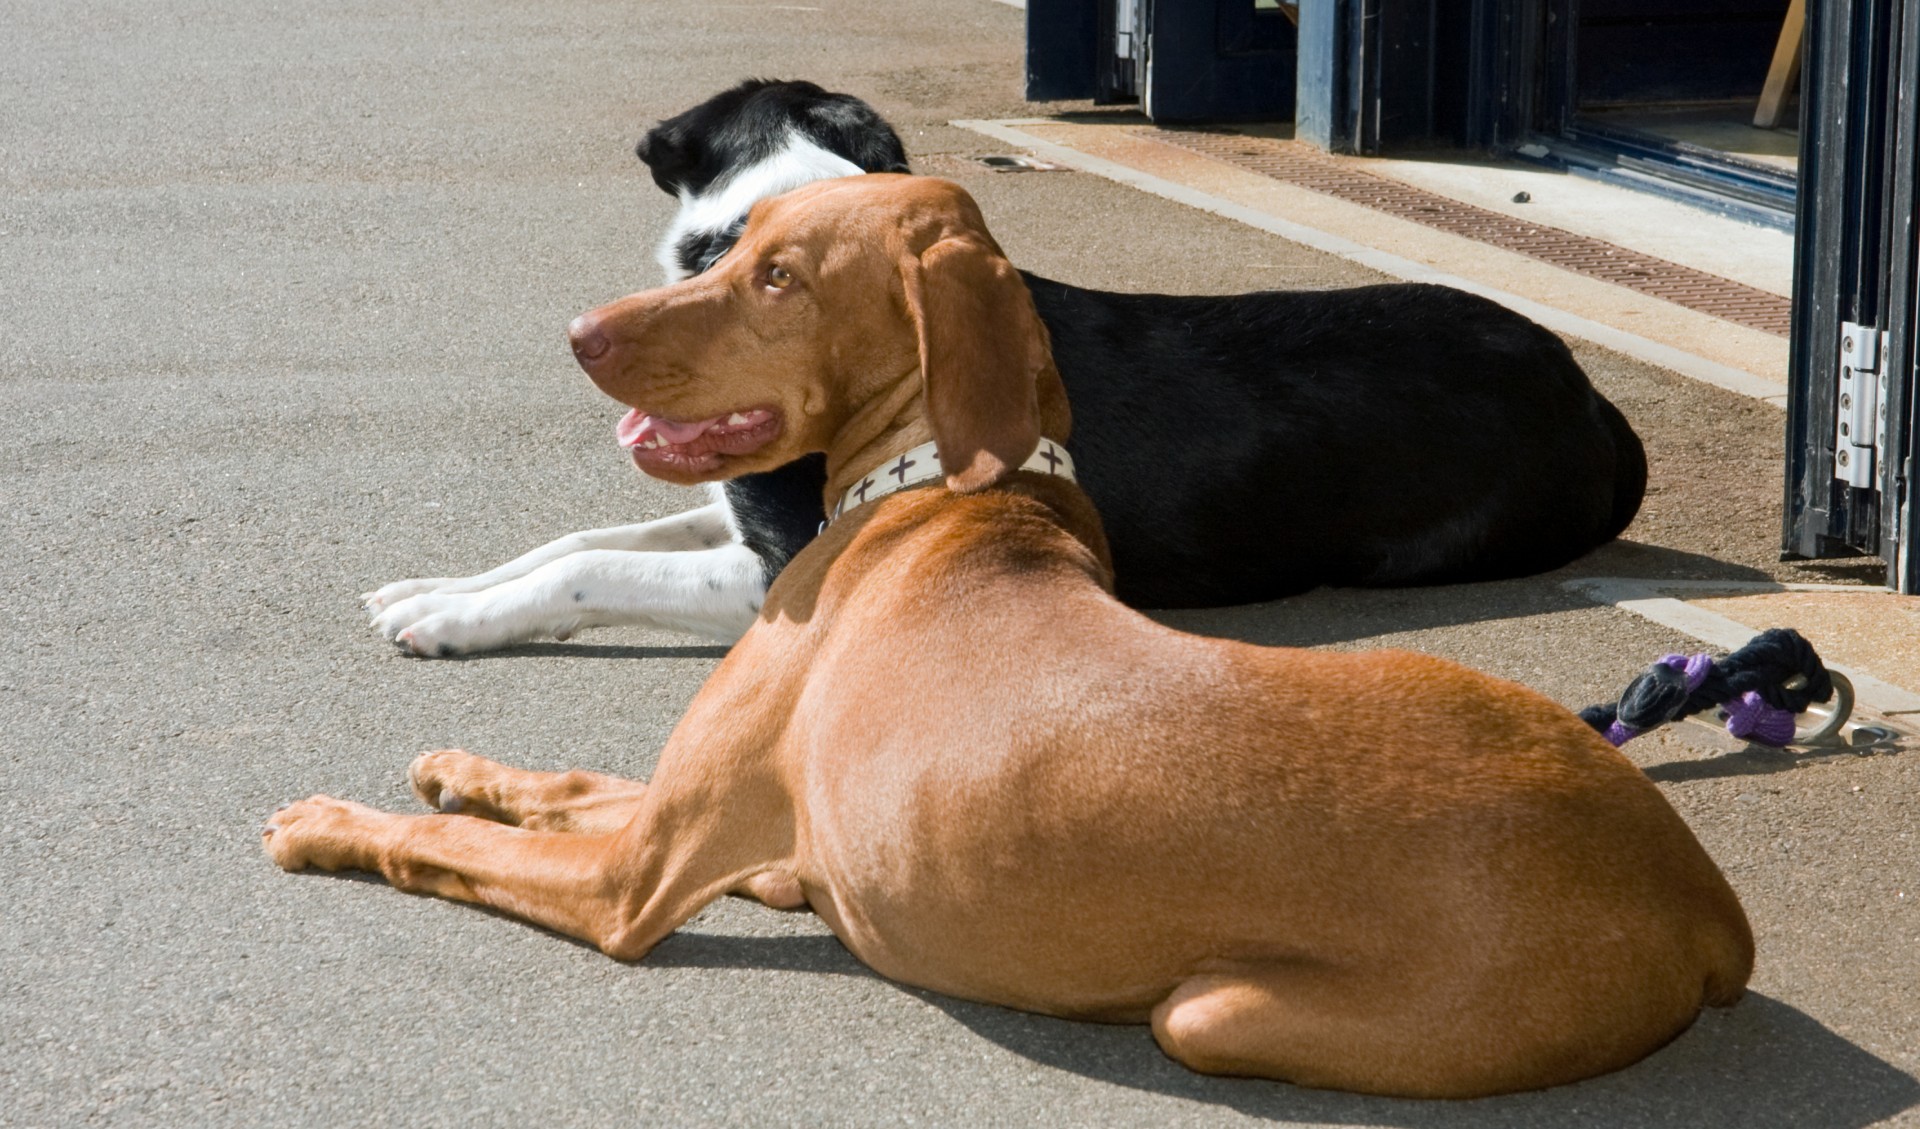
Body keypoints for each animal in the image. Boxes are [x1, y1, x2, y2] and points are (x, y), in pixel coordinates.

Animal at [270, 173, 1758, 1090]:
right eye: (728, 245)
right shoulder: (719, 823)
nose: (580, 333)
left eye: (776, 276)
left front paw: (330, 820)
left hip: (1213, 1011)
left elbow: (448, 846)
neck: (940, 495)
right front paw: (458, 743)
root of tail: (1701, 899)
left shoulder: (632, 884)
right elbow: (569, 771)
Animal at [362, 79, 1651, 656]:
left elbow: (588, 572)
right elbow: (570, 542)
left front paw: (455, 620)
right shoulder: (739, 521)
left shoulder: (780, 571)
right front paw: (435, 590)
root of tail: (1591, 397)